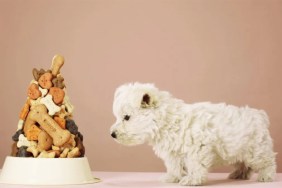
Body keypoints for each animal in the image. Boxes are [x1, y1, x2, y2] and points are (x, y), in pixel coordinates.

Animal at [110, 83, 276, 186]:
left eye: (126, 117)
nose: (112, 134)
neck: (168, 120)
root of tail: (258, 115)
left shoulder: (198, 147)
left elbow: (195, 164)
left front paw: (192, 179)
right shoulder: (172, 153)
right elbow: (174, 166)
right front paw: (172, 177)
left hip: (256, 149)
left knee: (267, 161)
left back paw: (266, 176)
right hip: (237, 148)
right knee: (243, 163)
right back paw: (239, 174)